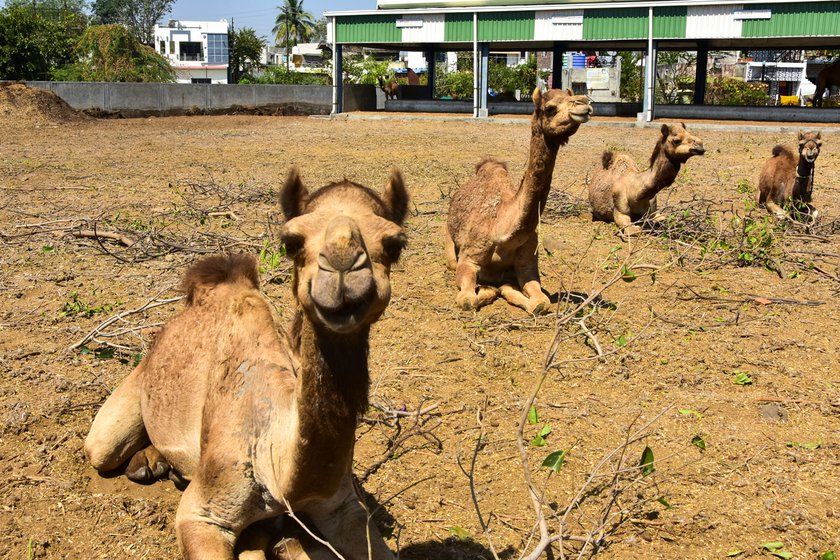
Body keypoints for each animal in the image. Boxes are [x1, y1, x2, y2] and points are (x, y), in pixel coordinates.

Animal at [85, 170, 410, 560]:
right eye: (291, 242)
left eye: (394, 244)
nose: (342, 266)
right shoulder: (200, 514)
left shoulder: (342, 505)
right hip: (122, 409)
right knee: (103, 448)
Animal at [442, 89, 592, 312]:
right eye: (550, 108)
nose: (584, 103)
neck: (504, 231)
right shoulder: (468, 260)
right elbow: (468, 300)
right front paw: (489, 288)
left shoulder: (527, 264)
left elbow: (540, 302)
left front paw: (505, 287)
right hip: (448, 240)